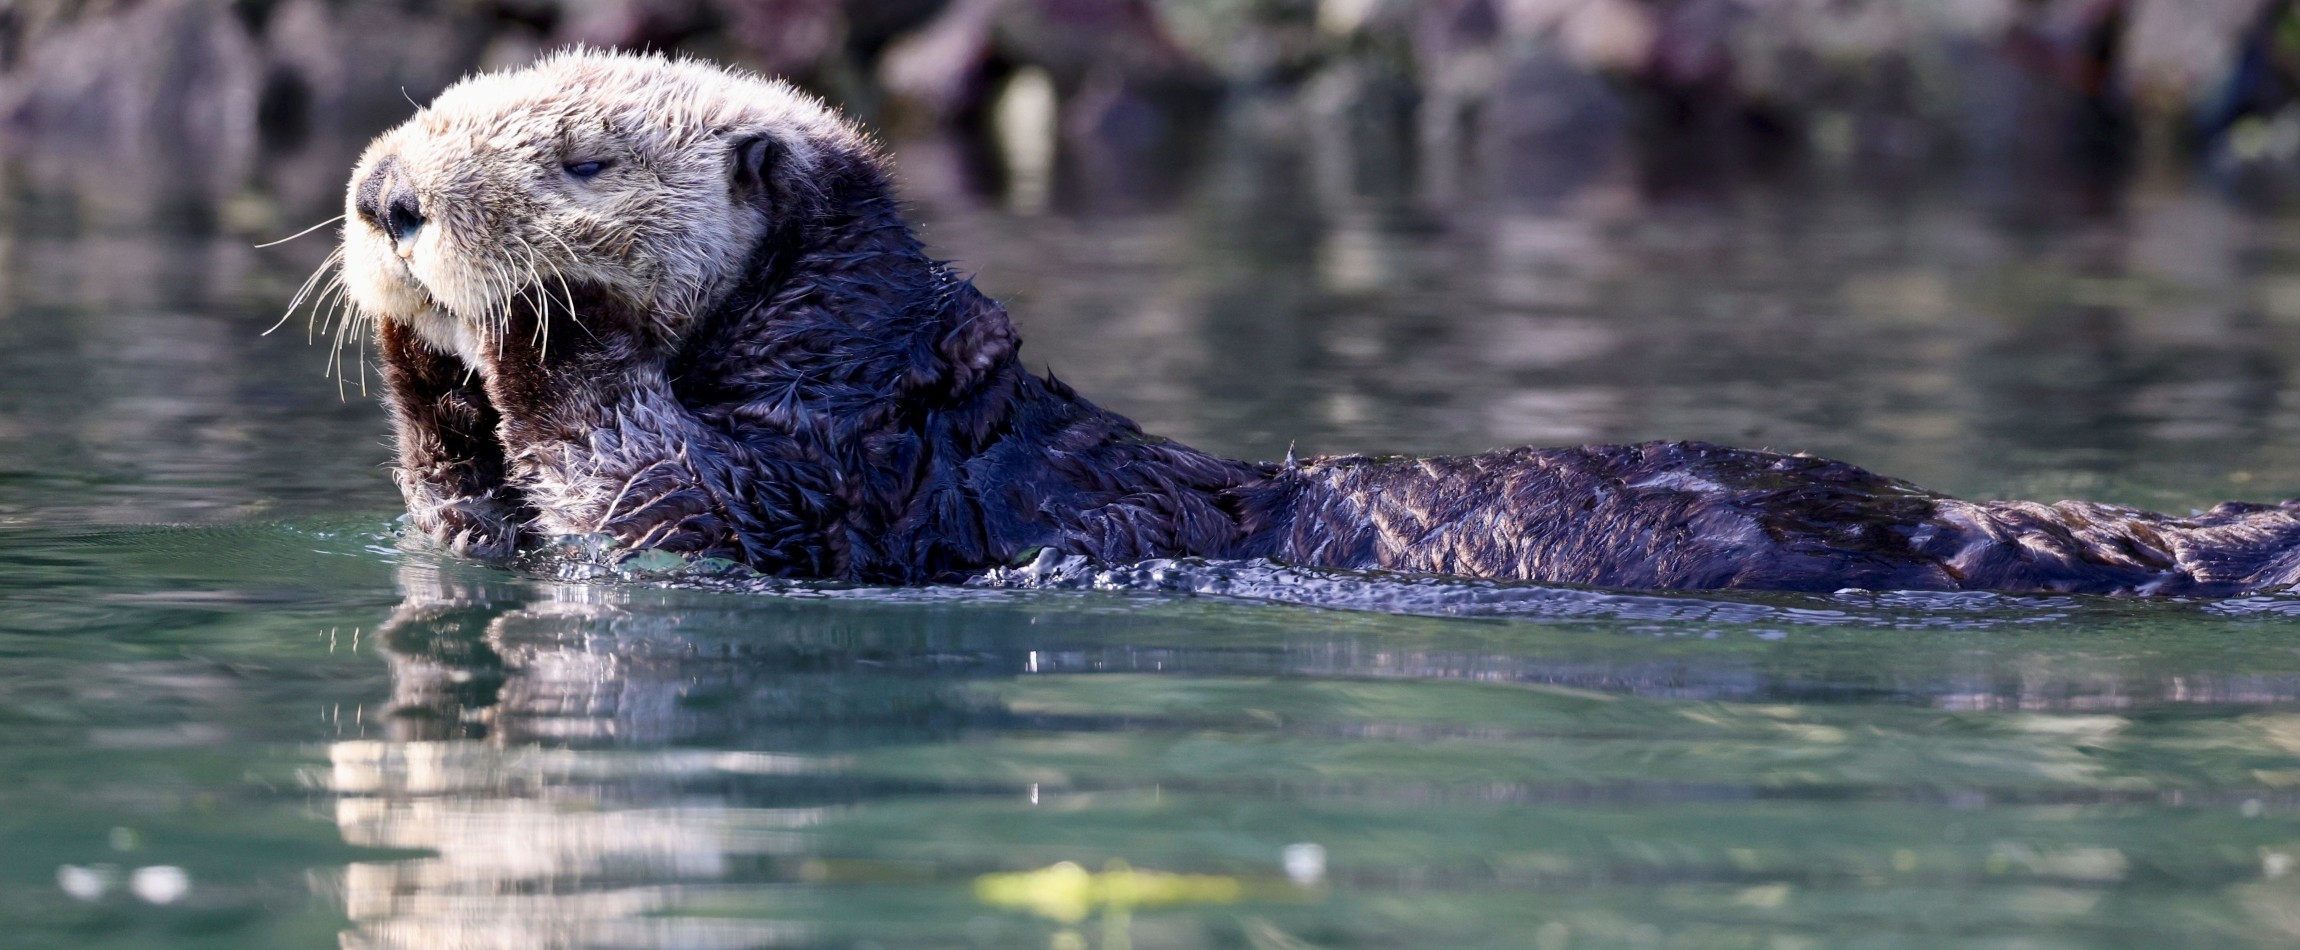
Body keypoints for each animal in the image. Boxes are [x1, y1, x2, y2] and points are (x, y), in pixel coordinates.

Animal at [337, 49, 2300, 596]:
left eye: (585, 154)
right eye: (435, 103)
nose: (386, 195)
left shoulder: (844, 484)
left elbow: (652, 486)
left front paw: (530, 331)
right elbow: (477, 508)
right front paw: (420, 362)